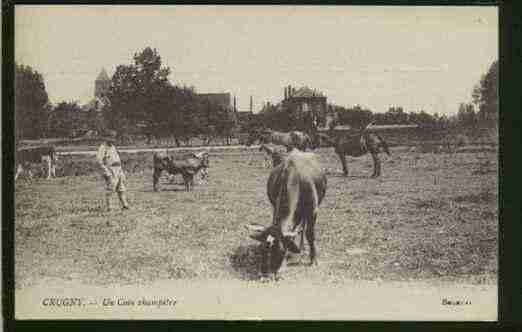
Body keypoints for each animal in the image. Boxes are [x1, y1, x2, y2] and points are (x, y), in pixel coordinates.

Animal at [244, 148, 324, 278]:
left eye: (280, 250)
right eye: (262, 249)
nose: (266, 274)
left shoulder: (313, 211)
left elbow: (310, 234)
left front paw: (313, 259)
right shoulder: (275, 205)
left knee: (304, 229)